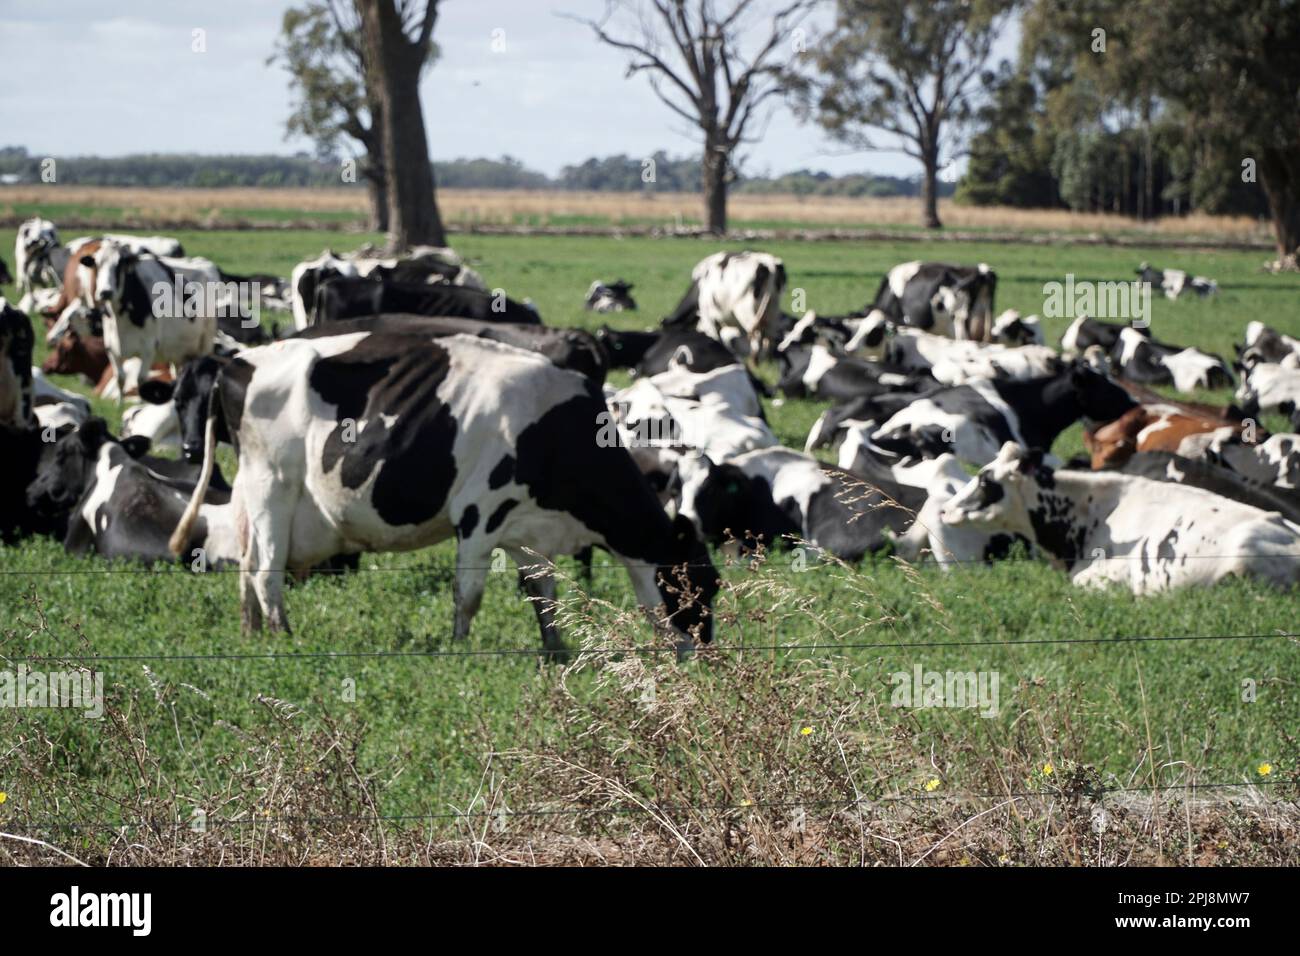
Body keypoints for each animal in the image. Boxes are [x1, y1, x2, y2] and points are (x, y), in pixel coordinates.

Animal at [166, 330, 717, 658]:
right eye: (698, 586)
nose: (705, 657)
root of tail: (237, 362)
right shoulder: (479, 514)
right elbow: (468, 594)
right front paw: (459, 651)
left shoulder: (528, 529)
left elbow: (544, 595)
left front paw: (556, 653)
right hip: (273, 484)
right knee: (265, 571)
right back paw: (284, 638)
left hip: (255, 495)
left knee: (246, 565)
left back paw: (251, 633)